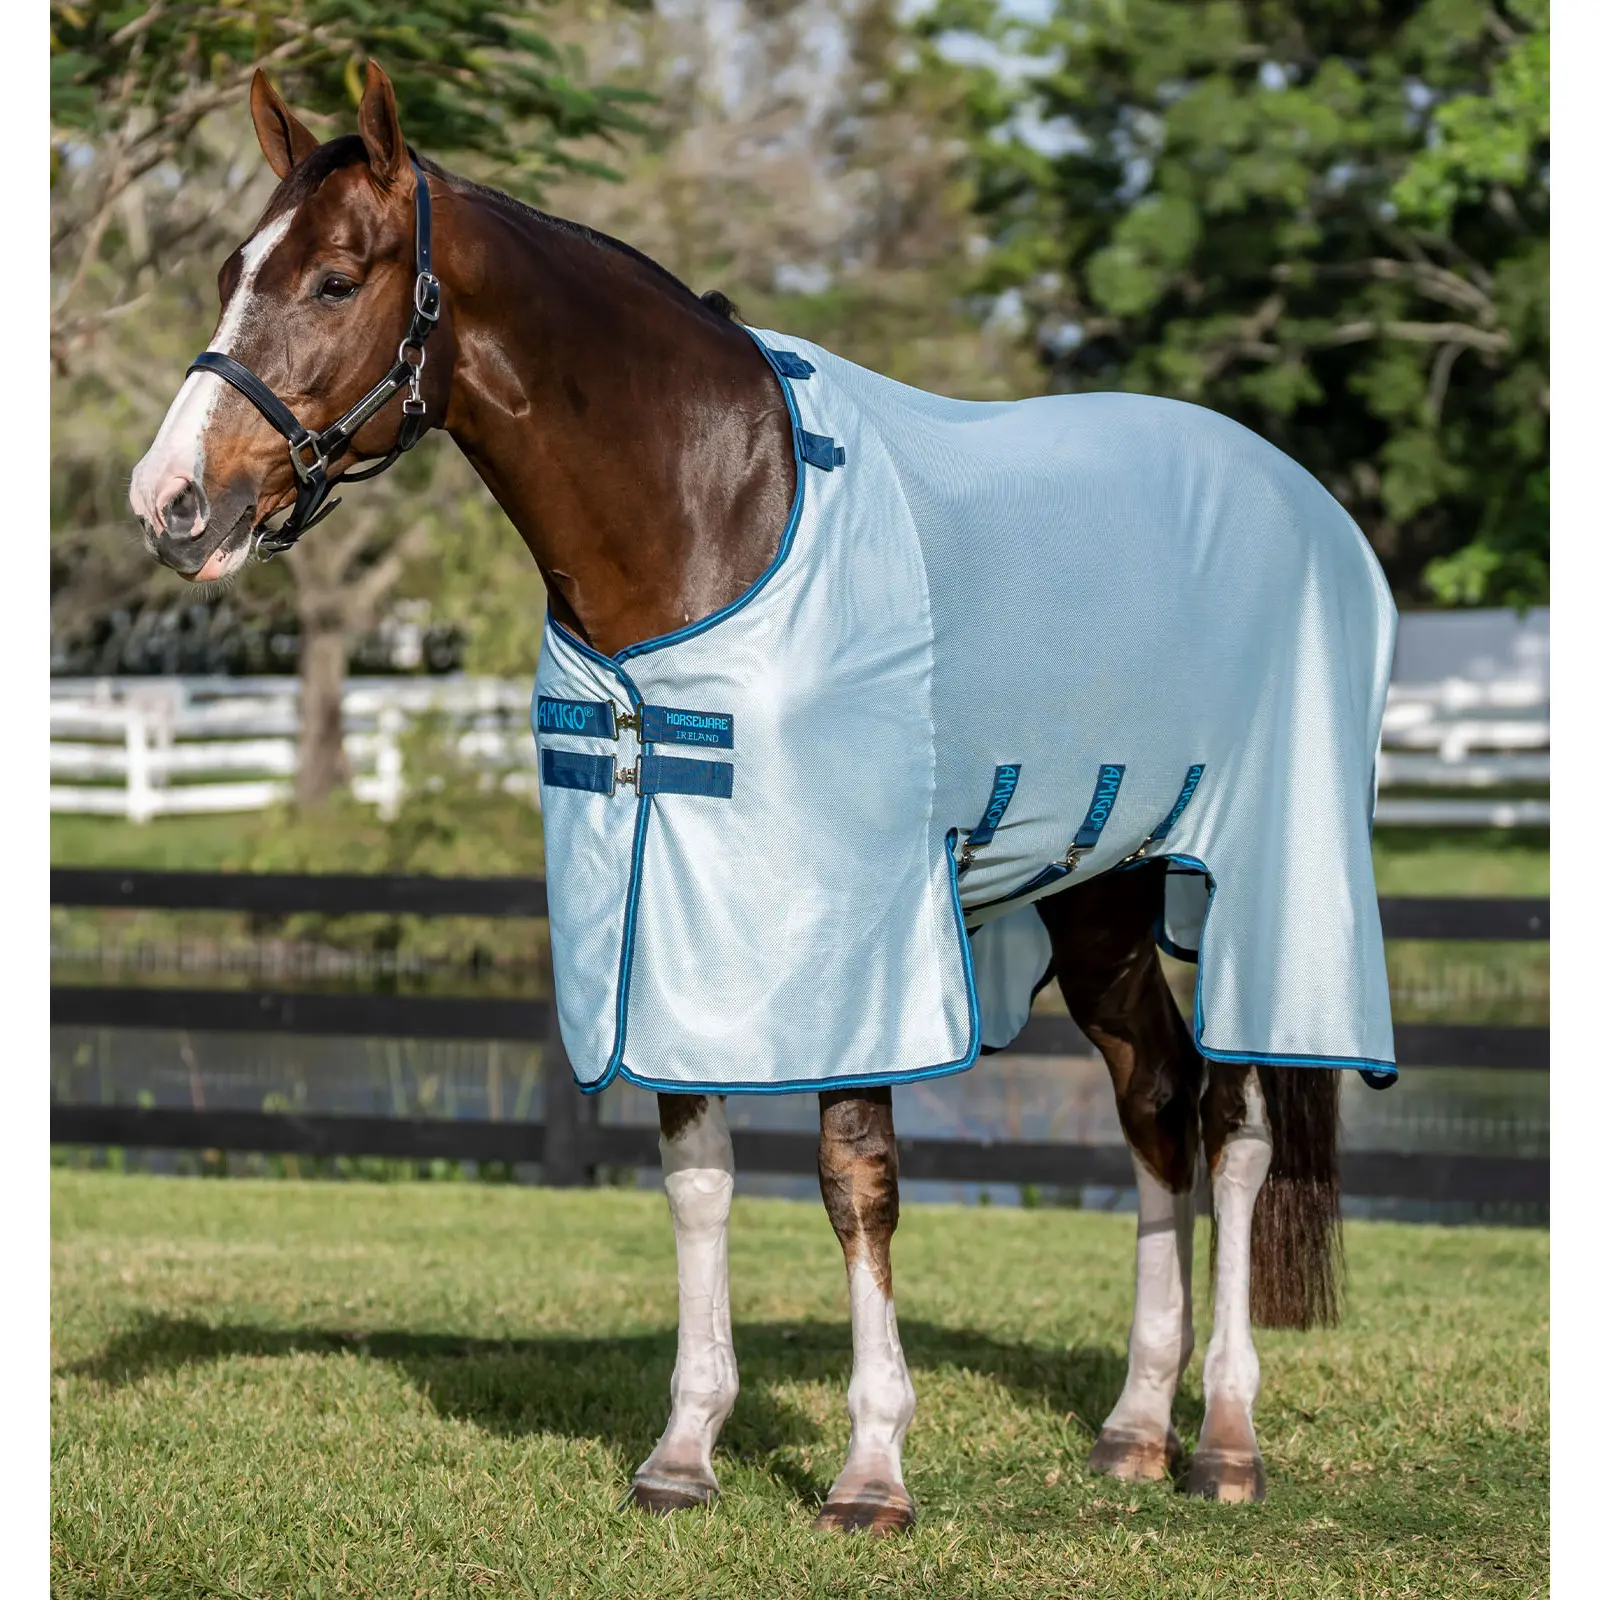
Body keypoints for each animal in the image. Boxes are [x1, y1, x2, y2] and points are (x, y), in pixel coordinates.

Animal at [130, 63, 1395, 1531]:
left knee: (1238, 1124)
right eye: (230, 268)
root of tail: (1299, 497)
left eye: (336, 279)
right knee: (1157, 1098)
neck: (711, 510)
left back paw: (1227, 1439)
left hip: (1261, 873)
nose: (171, 501)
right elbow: (697, 1179)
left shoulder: (859, 936)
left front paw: (872, 1467)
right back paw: (1136, 1423)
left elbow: (858, 1181)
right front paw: (683, 1451)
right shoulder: (658, 917)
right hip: (1101, 892)